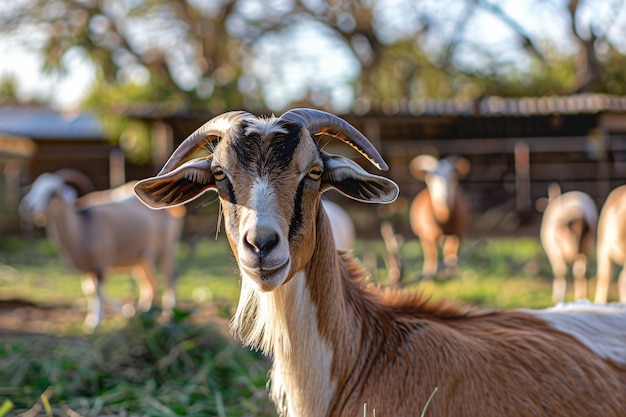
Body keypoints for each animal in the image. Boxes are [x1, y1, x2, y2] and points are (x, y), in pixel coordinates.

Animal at [19, 171, 184, 330]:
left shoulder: (101, 262)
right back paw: (144, 311)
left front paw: (94, 322)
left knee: (170, 276)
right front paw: (126, 311)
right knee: (150, 283)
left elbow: (96, 291)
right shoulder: (87, 268)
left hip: (166, 249)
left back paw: (168, 313)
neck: (82, 227)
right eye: (34, 188)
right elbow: (89, 289)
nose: (27, 207)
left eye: (53, 192)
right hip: (141, 259)